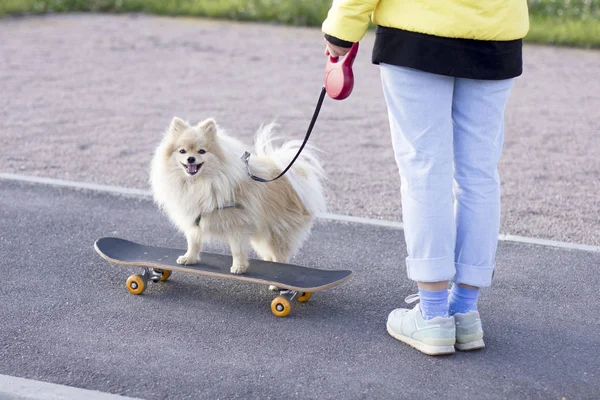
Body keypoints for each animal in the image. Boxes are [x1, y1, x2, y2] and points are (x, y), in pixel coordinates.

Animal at [150, 117, 328, 274]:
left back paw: (276, 285)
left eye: (202, 151)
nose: (191, 158)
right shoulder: (194, 217)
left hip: (276, 233)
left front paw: (239, 267)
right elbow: (193, 242)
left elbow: (237, 250)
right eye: (182, 151)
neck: (199, 183)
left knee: (280, 258)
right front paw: (189, 258)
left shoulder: (238, 224)